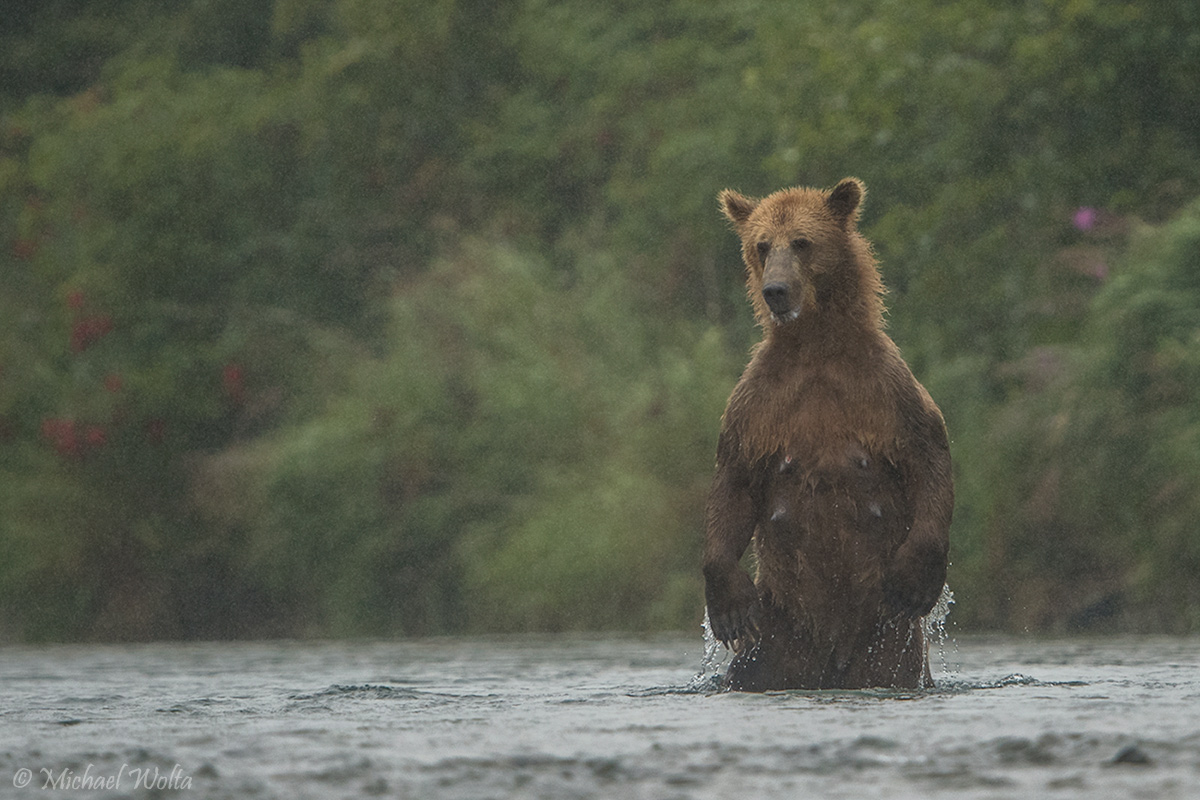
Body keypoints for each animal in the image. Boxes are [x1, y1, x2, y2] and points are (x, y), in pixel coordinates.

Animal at [700, 178, 950, 690]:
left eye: (802, 241)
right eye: (761, 245)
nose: (775, 290)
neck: (815, 346)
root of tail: (833, 656)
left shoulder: (886, 388)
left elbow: (928, 454)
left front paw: (915, 580)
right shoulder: (757, 401)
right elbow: (732, 482)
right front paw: (730, 609)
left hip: (888, 646)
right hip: (775, 640)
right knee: (754, 664)